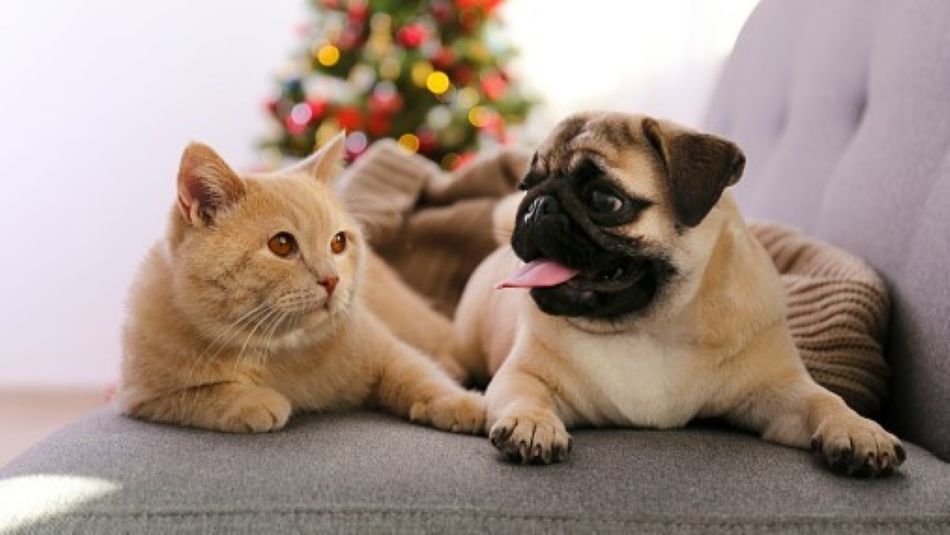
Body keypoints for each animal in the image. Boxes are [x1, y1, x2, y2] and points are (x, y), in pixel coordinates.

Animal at [117, 133, 484, 434]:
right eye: (282, 245)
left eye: (338, 242)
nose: (331, 278)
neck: (280, 351)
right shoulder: (143, 397)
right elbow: (200, 394)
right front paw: (255, 401)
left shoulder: (384, 347)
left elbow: (415, 371)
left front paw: (459, 402)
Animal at [452, 111, 905, 476]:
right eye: (526, 185)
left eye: (604, 200)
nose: (534, 206)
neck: (651, 326)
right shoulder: (523, 374)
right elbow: (525, 395)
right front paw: (532, 424)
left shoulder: (780, 389)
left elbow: (825, 400)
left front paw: (858, 429)